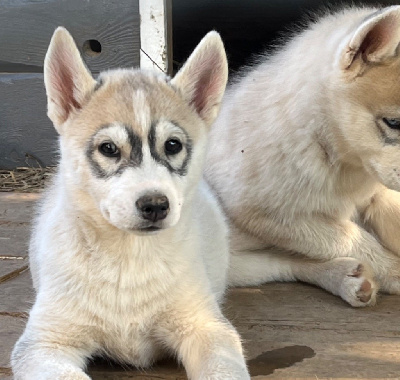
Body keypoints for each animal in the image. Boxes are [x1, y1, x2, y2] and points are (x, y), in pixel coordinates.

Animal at [11, 27, 250, 380]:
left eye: (173, 145)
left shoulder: (207, 327)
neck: (129, 260)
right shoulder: (44, 343)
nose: (155, 205)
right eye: (109, 148)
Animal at [206, 5, 400, 308]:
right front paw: (394, 270)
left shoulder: (376, 191)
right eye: (393, 122)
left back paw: (346, 277)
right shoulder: (268, 213)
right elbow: (347, 236)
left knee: (282, 262)